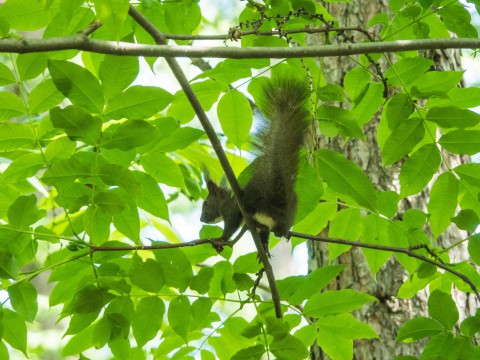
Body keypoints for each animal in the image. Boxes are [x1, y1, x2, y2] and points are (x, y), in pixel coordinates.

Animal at [200, 75, 310, 252]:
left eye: (206, 203)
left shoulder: (231, 209)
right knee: (274, 230)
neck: (224, 199)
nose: (201, 219)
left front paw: (221, 239)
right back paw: (276, 238)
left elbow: (231, 226)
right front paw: (263, 247)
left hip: (251, 204)